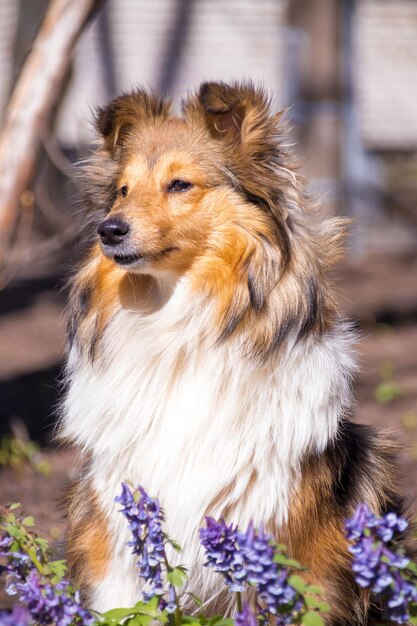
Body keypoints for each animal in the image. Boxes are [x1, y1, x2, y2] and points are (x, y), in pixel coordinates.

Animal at [61, 81, 404, 620]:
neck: (177, 321)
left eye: (180, 185)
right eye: (122, 190)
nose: (109, 230)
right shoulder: (115, 523)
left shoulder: (275, 516)